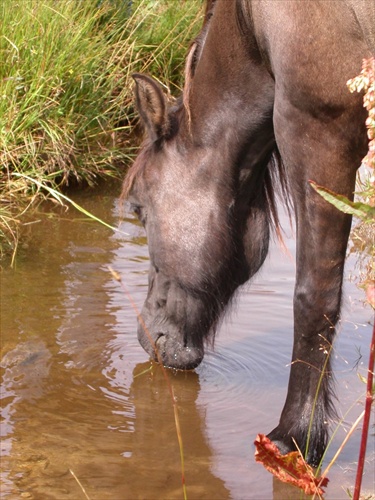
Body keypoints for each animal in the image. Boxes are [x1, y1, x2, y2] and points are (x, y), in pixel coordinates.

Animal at [122, 0, 374, 464]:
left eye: (140, 209)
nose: (148, 338)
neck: (253, 22)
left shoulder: (319, 136)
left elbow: (314, 298)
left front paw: (295, 436)